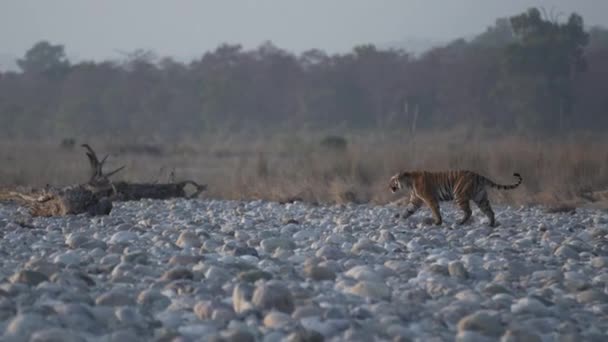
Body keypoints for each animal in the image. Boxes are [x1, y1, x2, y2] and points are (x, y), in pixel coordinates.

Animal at [390, 169, 524, 227]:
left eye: (392, 180)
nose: (389, 186)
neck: (408, 183)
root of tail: (478, 175)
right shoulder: (415, 201)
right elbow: (408, 210)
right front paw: (400, 219)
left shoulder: (429, 198)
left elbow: (435, 210)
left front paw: (437, 222)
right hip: (480, 197)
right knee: (490, 211)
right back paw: (490, 224)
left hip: (460, 195)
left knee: (469, 211)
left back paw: (460, 222)